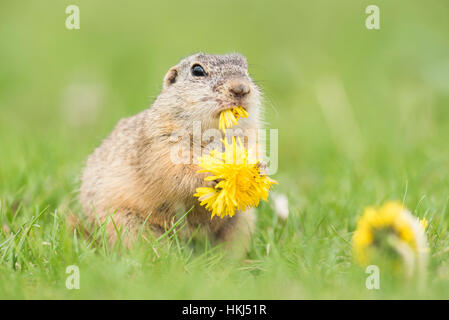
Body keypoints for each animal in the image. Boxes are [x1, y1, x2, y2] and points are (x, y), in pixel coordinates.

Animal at [80, 53, 260, 251]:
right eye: (197, 70)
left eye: (246, 68)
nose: (241, 88)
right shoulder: (161, 143)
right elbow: (175, 172)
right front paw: (212, 174)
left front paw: (258, 169)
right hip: (125, 223)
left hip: (241, 221)